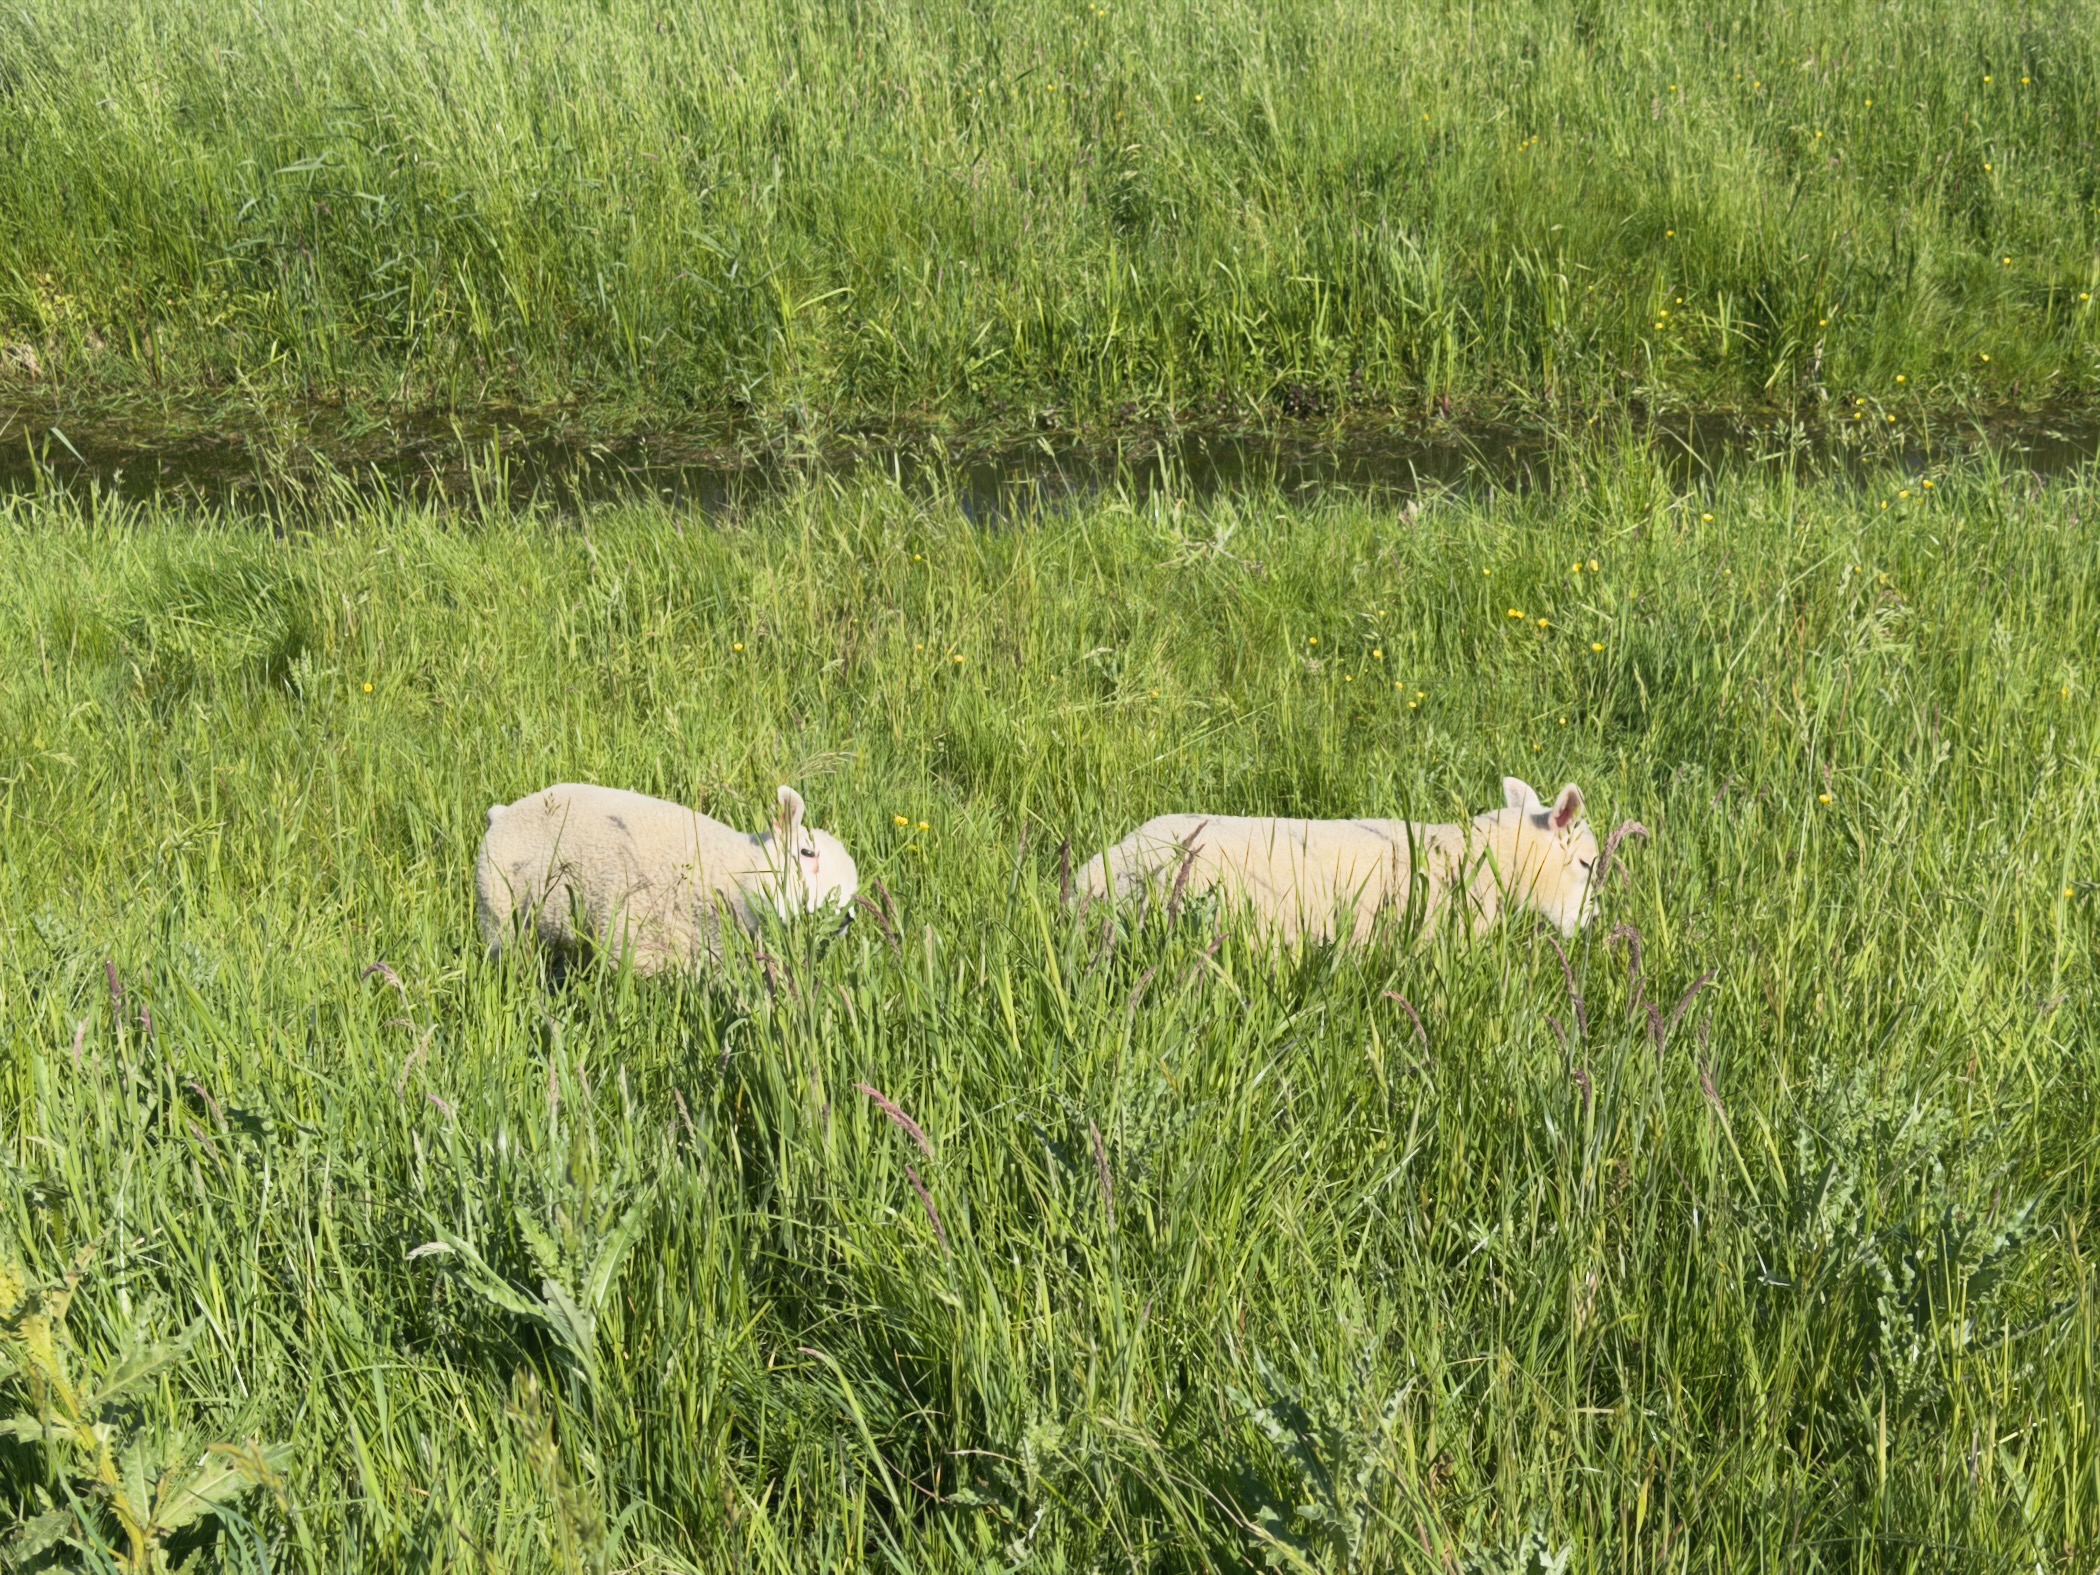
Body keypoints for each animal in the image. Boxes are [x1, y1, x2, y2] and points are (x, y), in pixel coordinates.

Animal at [475, 782, 858, 974]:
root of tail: (502, 812)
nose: (845, 918)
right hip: (497, 912)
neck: (728, 869)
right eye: (806, 853)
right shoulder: (634, 945)